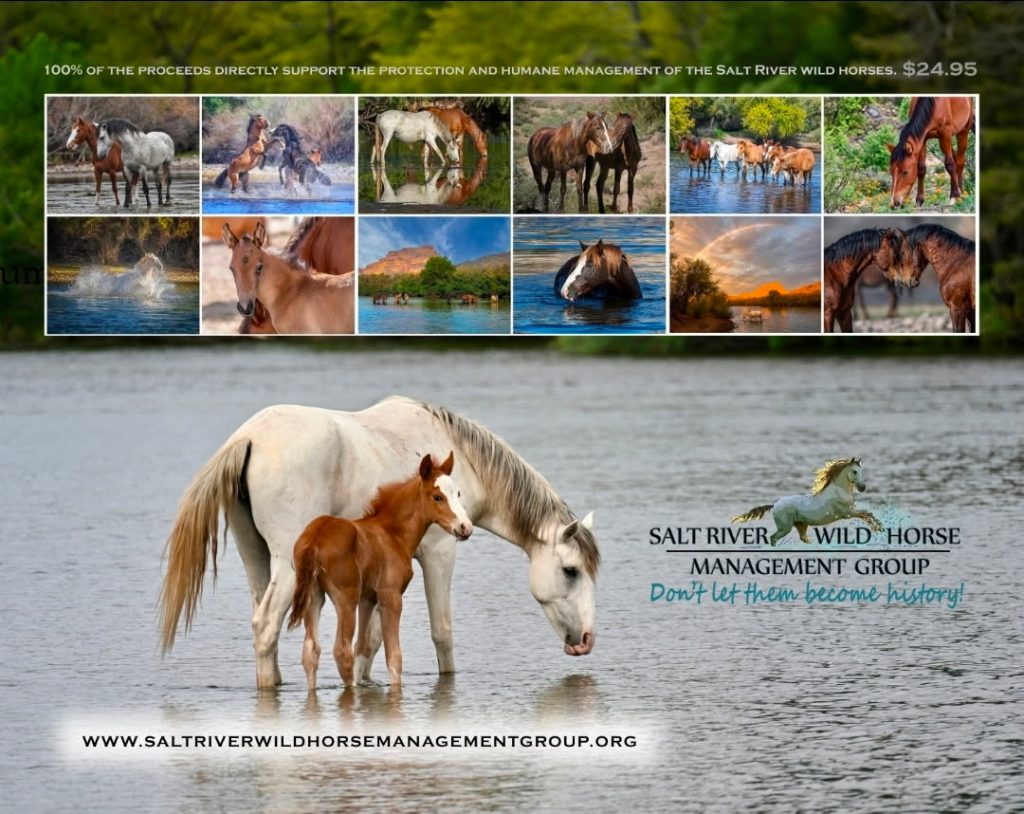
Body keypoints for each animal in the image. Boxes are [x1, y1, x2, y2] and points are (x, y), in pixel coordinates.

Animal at [288, 452, 473, 690]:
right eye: (437, 497)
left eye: (457, 493)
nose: (465, 527)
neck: (392, 534)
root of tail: (314, 538)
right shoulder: (390, 596)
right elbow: (393, 656)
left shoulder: (368, 598)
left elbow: (362, 648)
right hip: (345, 597)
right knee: (341, 651)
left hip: (314, 596)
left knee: (311, 652)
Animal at [731, 458, 883, 545]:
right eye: (855, 471)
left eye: (861, 471)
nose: (863, 487)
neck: (839, 491)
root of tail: (775, 505)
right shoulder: (847, 513)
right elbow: (866, 513)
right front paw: (878, 528)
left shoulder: (851, 512)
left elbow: (868, 514)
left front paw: (879, 528)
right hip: (785, 528)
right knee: (773, 538)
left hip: (801, 525)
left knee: (803, 539)